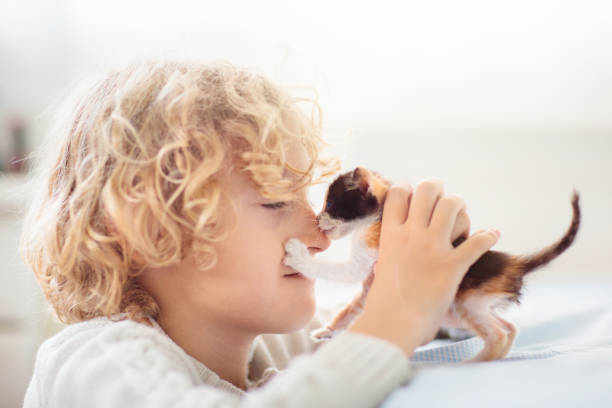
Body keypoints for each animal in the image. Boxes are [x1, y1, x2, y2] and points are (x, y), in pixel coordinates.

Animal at [284, 167, 580, 362]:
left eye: (331, 204)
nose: (317, 219)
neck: (376, 220)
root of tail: (512, 264)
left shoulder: (366, 259)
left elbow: (338, 271)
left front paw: (298, 255)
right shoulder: (369, 285)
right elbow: (351, 307)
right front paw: (329, 330)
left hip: (466, 303)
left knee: (498, 334)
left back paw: (473, 363)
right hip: (475, 306)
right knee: (510, 327)